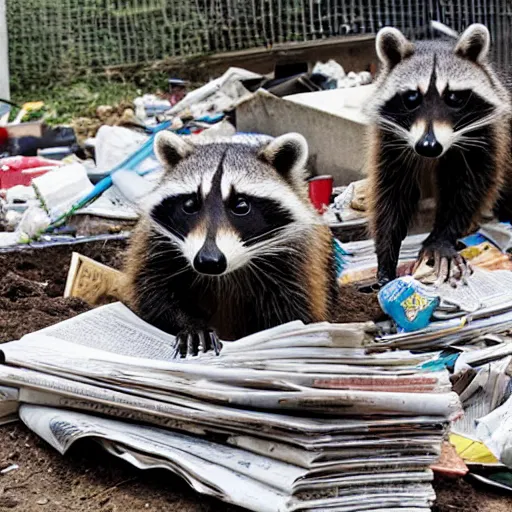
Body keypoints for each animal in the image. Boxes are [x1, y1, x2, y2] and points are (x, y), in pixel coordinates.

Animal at [123, 132, 340, 356]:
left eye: (241, 206)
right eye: (190, 204)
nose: (208, 261)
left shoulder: (299, 262)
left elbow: (293, 314)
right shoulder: (154, 245)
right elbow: (152, 296)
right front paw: (190, 325)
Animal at [366, 24, 510, 286]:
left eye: (453, 97)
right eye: (412, 97)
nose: (428, 146)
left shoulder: (489, 131)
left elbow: (467, 188)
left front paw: (441, 239)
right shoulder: (389, 138)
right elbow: (391, 192)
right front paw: (386, 252)